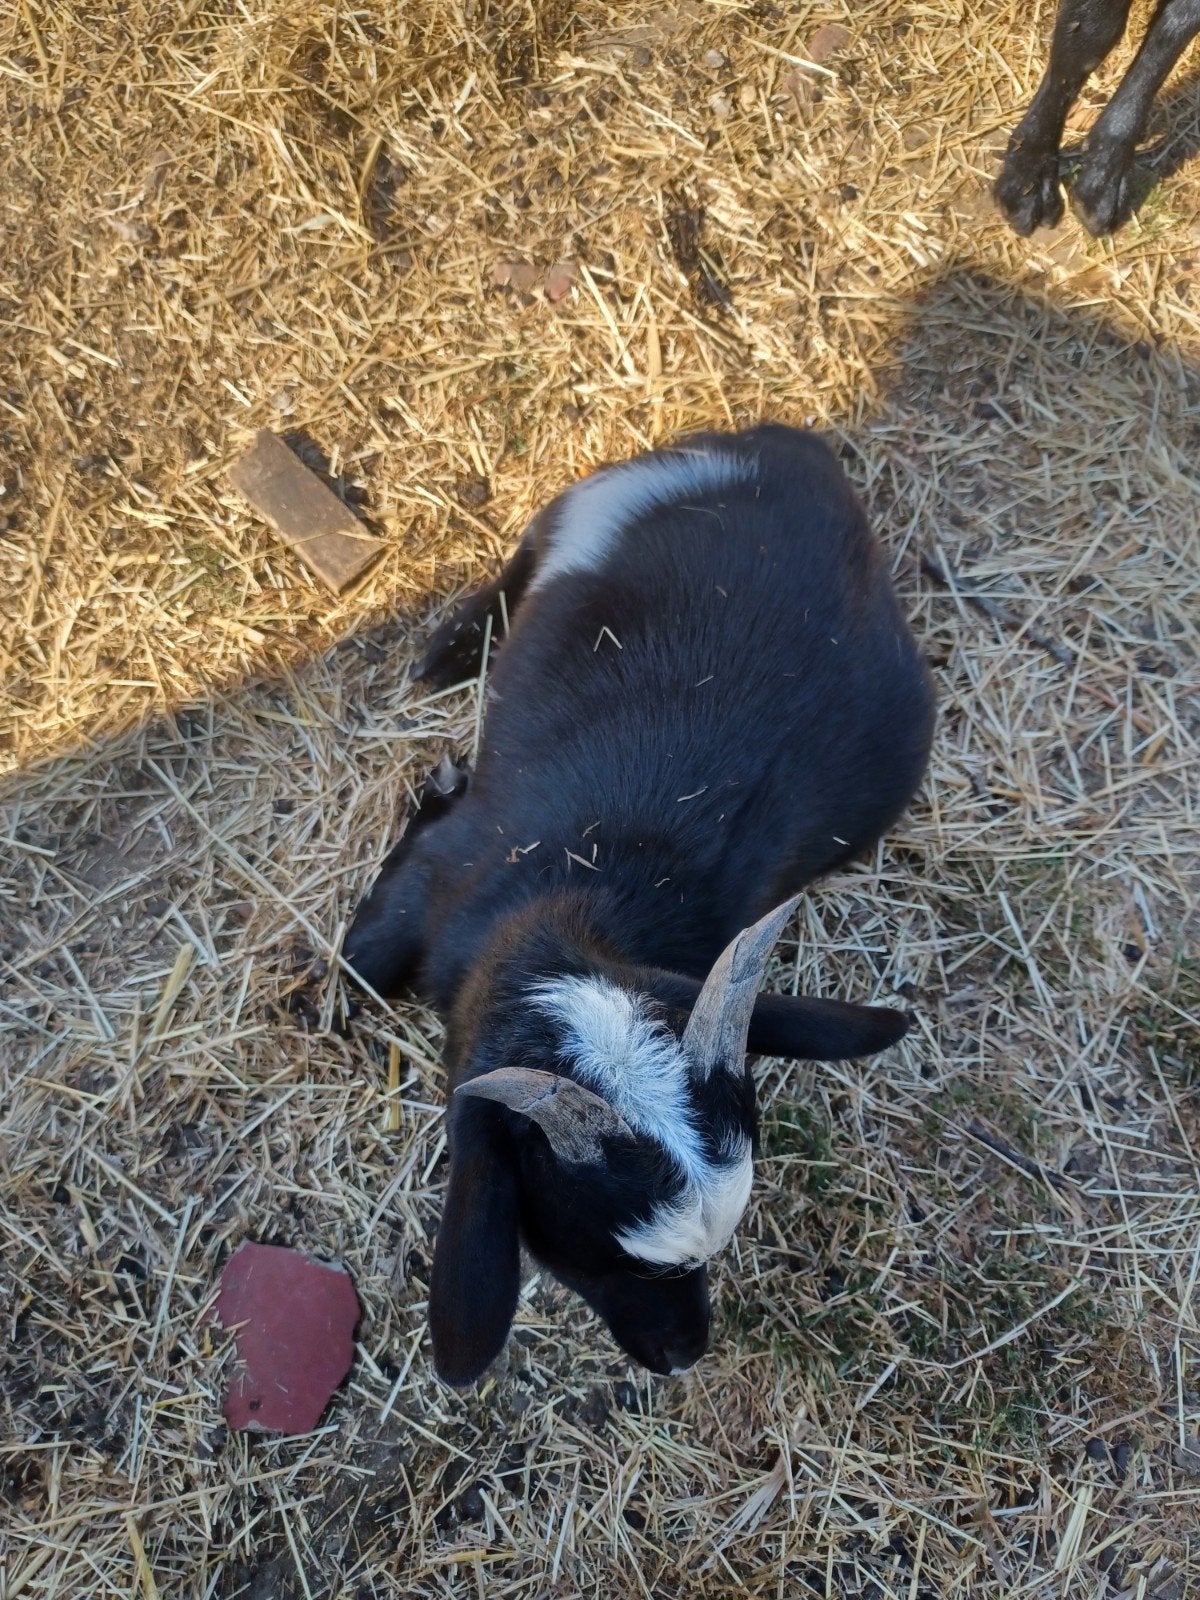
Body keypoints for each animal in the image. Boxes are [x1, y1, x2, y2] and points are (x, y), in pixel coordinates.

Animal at [344, 423, 935, 1386]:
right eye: (586, 1252)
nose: (681, 1354)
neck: (564, 899)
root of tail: (792, 450)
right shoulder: (441, 871)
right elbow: (358, 966)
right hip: (596, 501)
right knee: (523, 554)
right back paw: (449, 653)